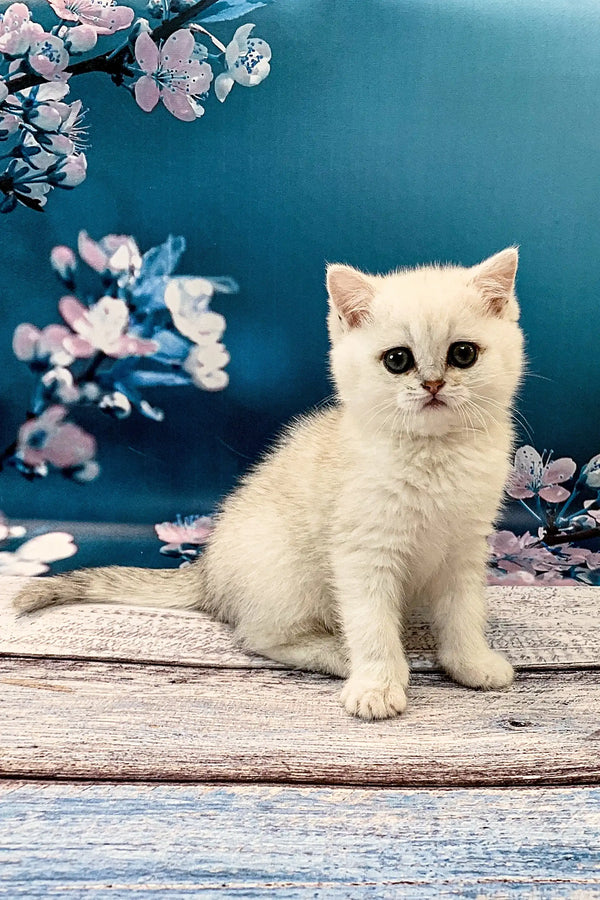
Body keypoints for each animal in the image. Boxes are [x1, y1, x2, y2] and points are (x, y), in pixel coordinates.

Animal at [11, 250, 524, 720]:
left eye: (462, 354)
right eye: (398, 360)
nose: (434, 384)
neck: (434, 454)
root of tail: (208, 571)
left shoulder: (465, 548)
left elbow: (463, 614)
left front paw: (470, 663)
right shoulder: (363, 555)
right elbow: (372, 627)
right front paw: (377, 685)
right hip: (286, 570)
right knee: (258, 636)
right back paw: (340, 655)